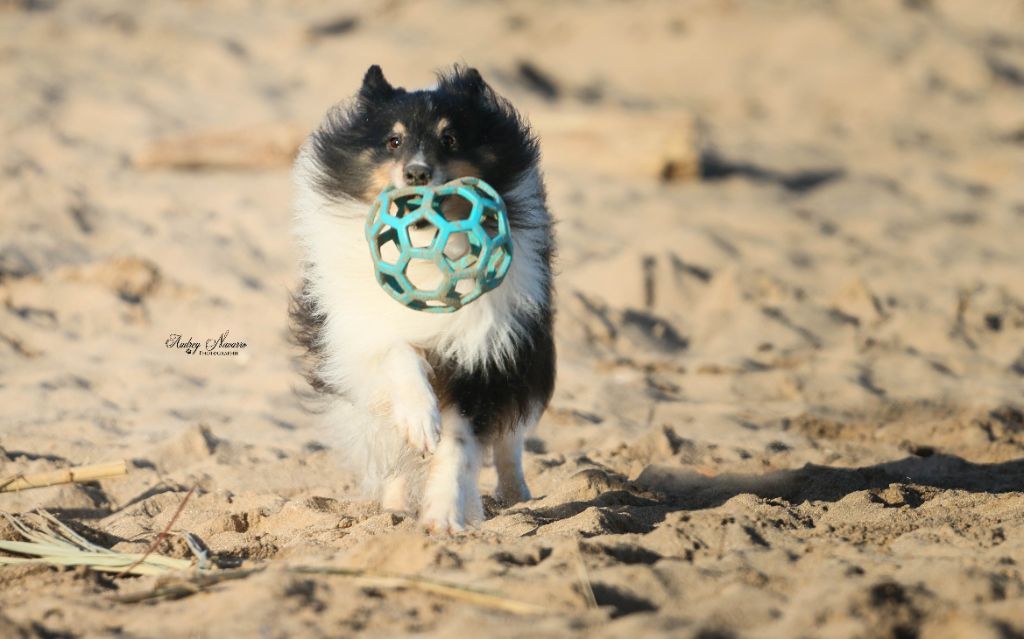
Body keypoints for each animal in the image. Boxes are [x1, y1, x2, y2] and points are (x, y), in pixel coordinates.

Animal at [288, 66, 557, 532]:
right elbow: (399, 355)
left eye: (449, 139)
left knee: (510, 440)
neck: (428, 252)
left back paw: (513, 495)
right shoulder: (361, 332)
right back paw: (394, 507)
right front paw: (419, 420)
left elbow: (459, 443)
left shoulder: (483, 353)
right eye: (393, 141)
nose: (416, 174)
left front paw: (444, 516)